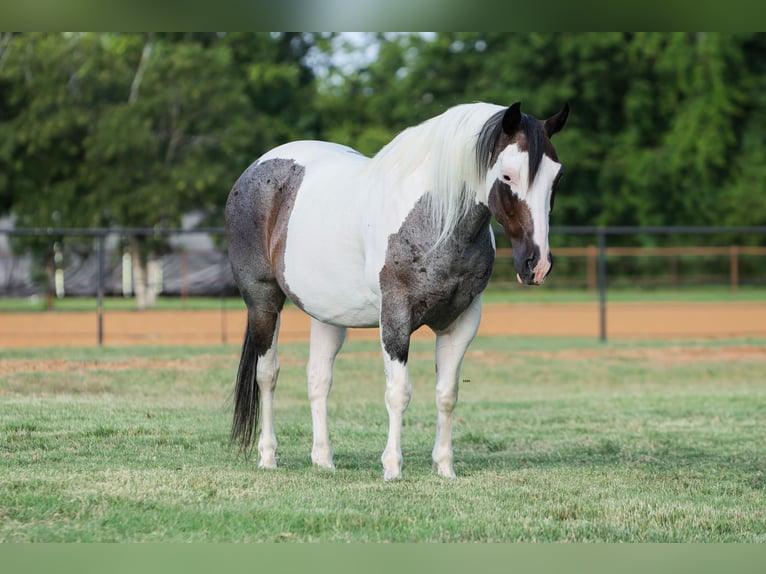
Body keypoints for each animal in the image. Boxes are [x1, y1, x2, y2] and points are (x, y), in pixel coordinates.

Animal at [225, 101, 569, 480]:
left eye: (556, 177)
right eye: (507, 176)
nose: (537, 264)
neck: (435, 220)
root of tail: (256, 168)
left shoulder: (462, 322)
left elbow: (447, 394)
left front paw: (444, 467)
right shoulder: (395, 317)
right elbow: (398, 392)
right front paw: (392, 467)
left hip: (327, 315)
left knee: (318, 378)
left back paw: (324, 460)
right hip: (263, 302)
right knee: (268, 374)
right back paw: (268, 456)